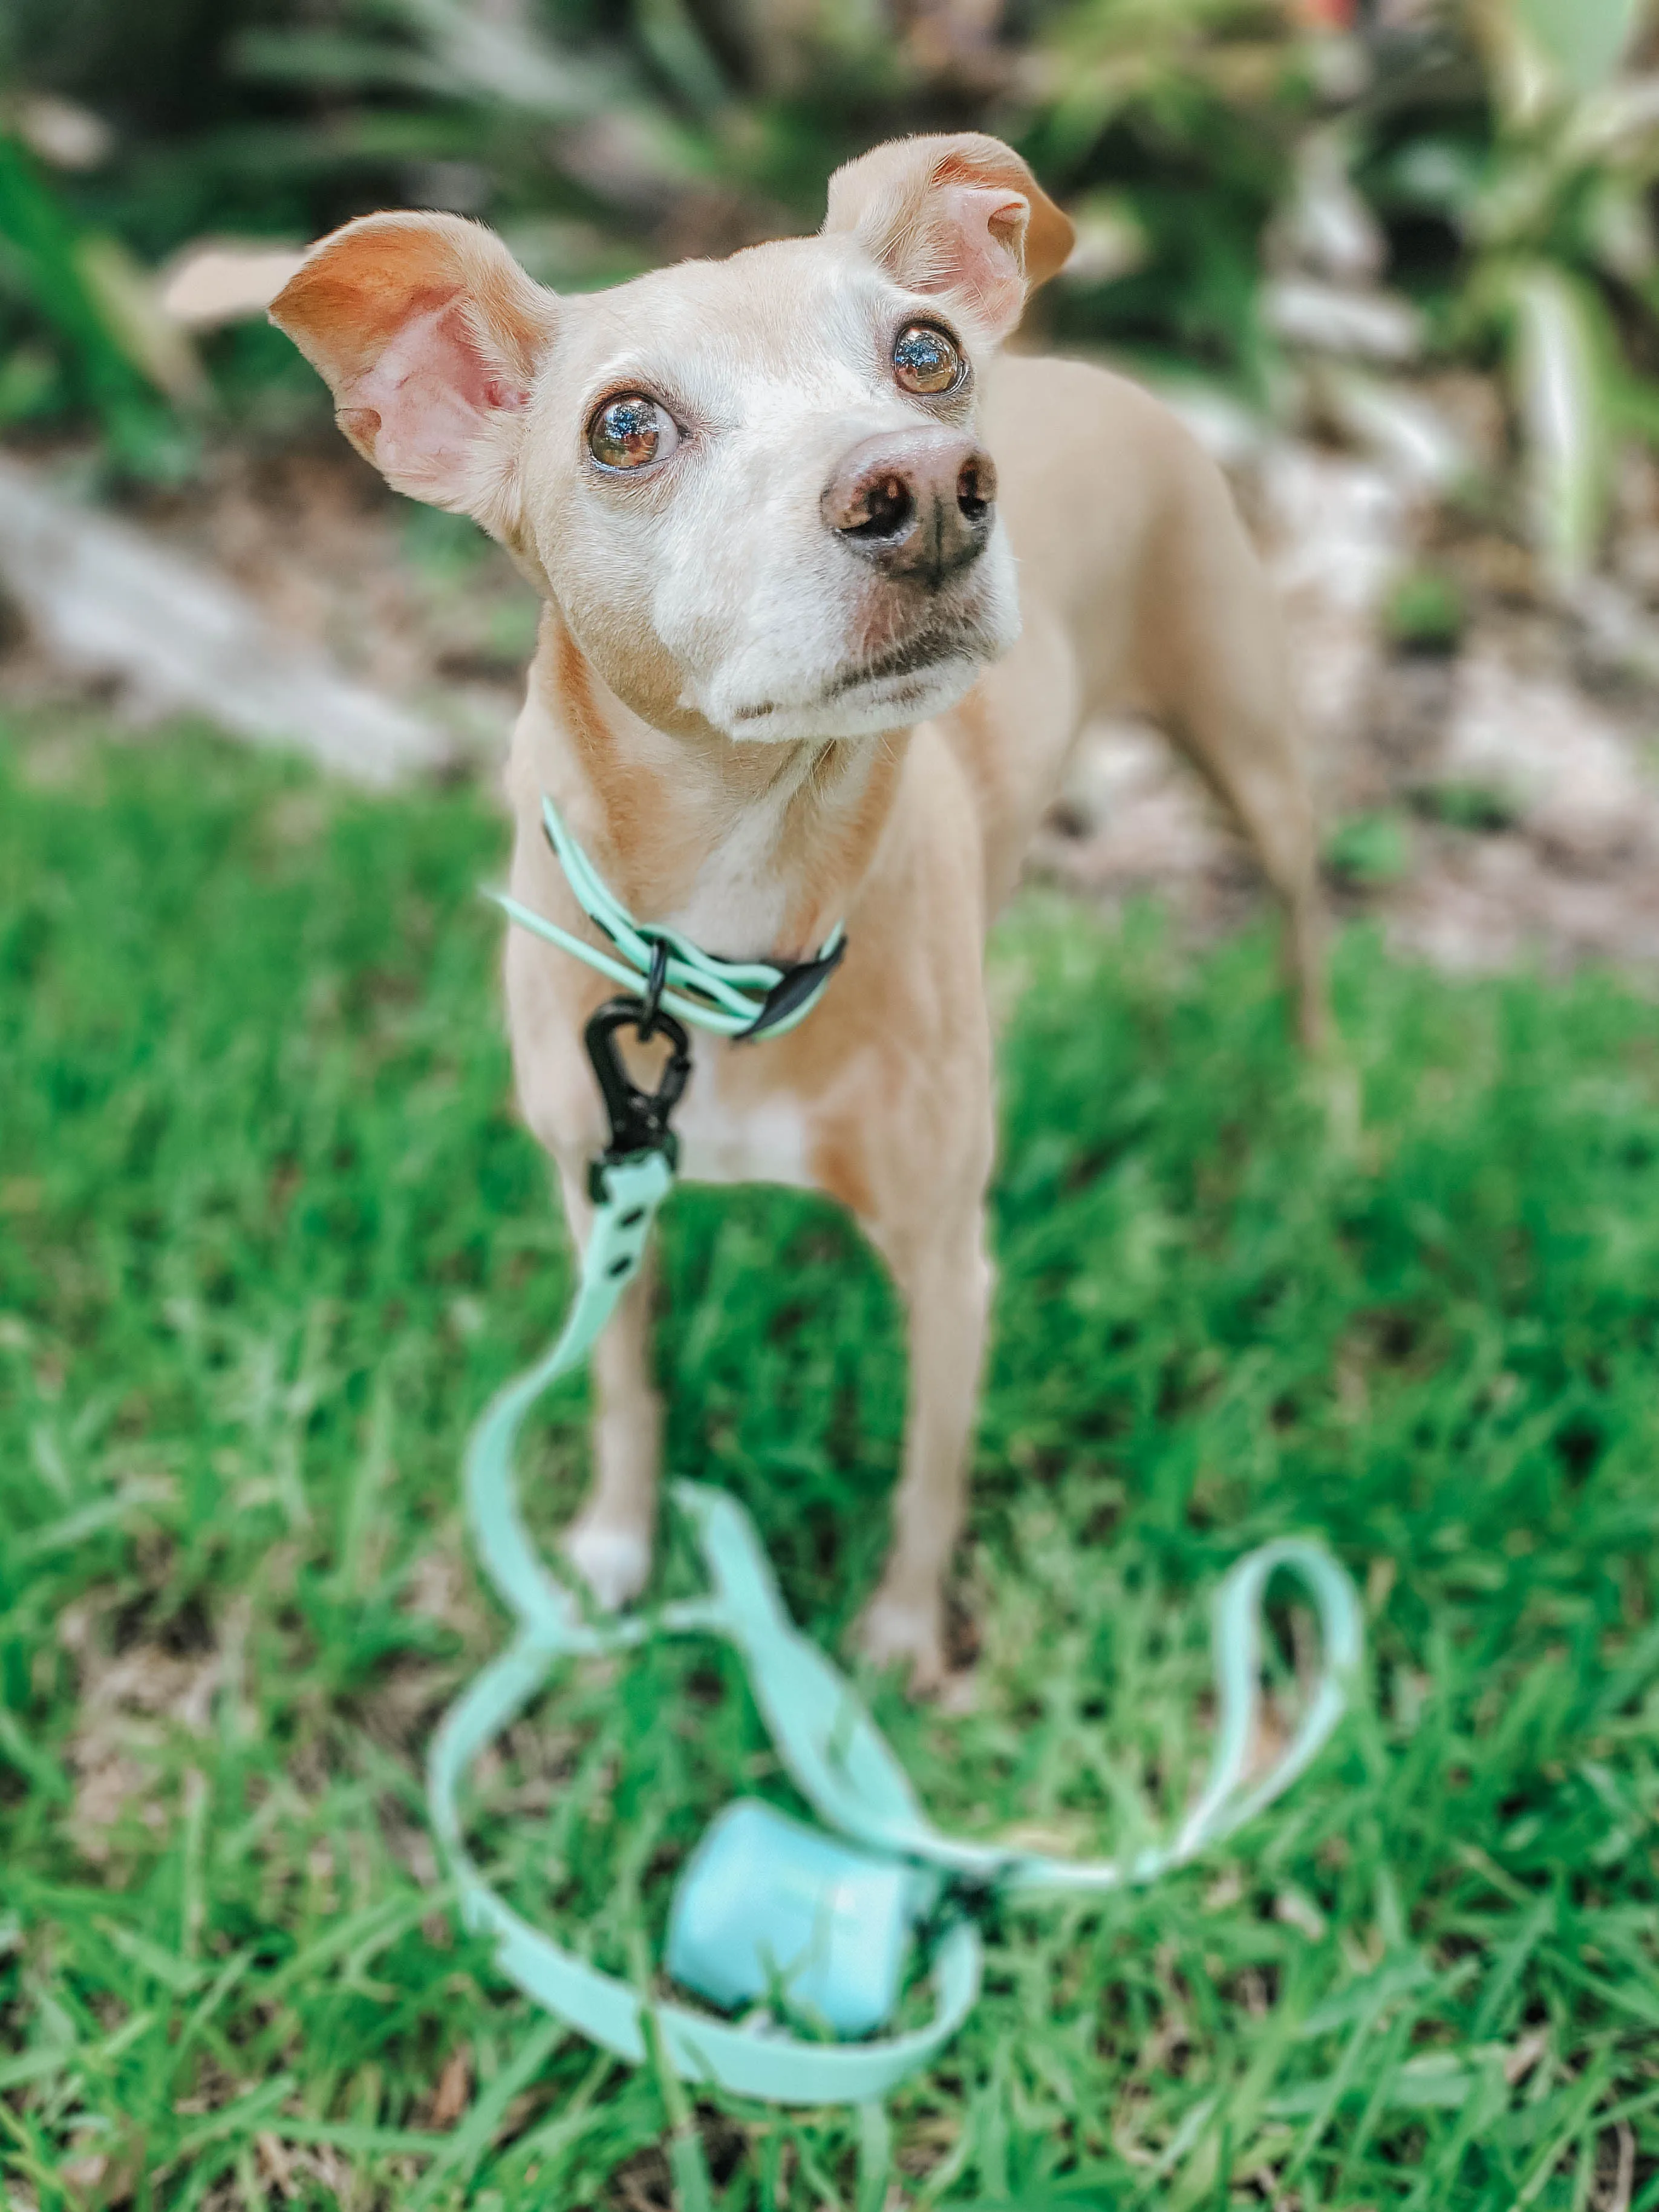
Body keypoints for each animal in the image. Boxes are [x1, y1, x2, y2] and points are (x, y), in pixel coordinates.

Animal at [283, 134, 1327, 1689]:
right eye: (624, 428)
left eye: (922, 352)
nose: (933, 485)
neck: (735, 912)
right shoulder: (599, 1192)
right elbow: (624, 1391)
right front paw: (611, 1552)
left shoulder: (949, 1265)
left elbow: (927, 1478)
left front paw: (891, 1646)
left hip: (1249, 743)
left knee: (1303, 925)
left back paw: (1325, 1093)